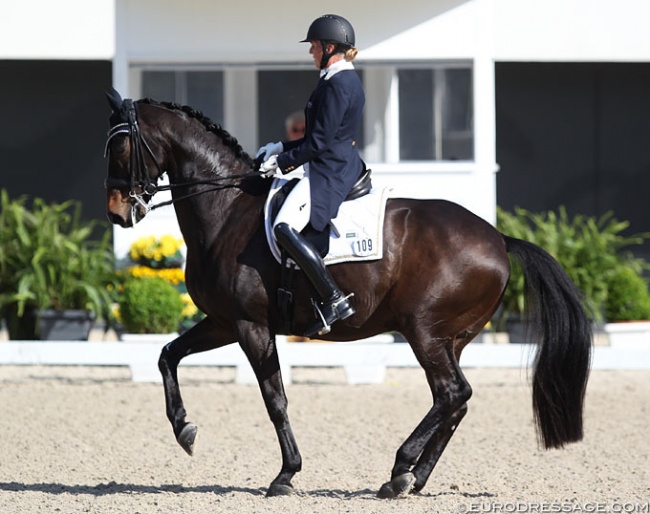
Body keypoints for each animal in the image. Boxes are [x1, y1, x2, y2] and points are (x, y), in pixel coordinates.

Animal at [102, 90, 592, 498]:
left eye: (120, 148)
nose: (118, 214)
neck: (227, 211)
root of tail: (498, 238)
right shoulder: (224, 322)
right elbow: (167, 355)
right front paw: (184, 430)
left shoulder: (250, 325)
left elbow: (275, 399)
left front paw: (285, 475)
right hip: (452, 337)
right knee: (455, 403)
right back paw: (412, 479)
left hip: (424, 331)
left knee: (452, 394)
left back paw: (400, 470)